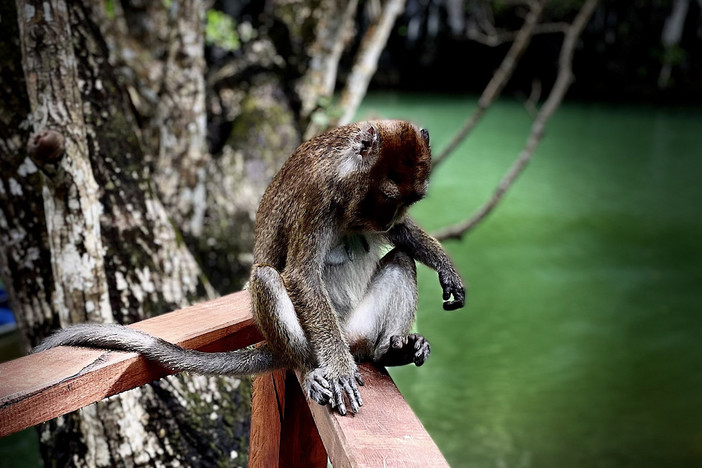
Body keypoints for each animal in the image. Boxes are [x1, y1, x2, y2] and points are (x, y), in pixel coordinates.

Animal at [34, 119, 468, 414]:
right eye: (389, 196)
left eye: (407, 201)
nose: (388, 218)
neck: (349, 175)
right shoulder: (318, 194)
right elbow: (300, 277)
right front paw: (339, 372)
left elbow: (402, 239)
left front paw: (446, 268)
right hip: (312, 339)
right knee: (267, 279)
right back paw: (315, 368)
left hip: (360, 330)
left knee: (400, 261)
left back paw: (387, 352)